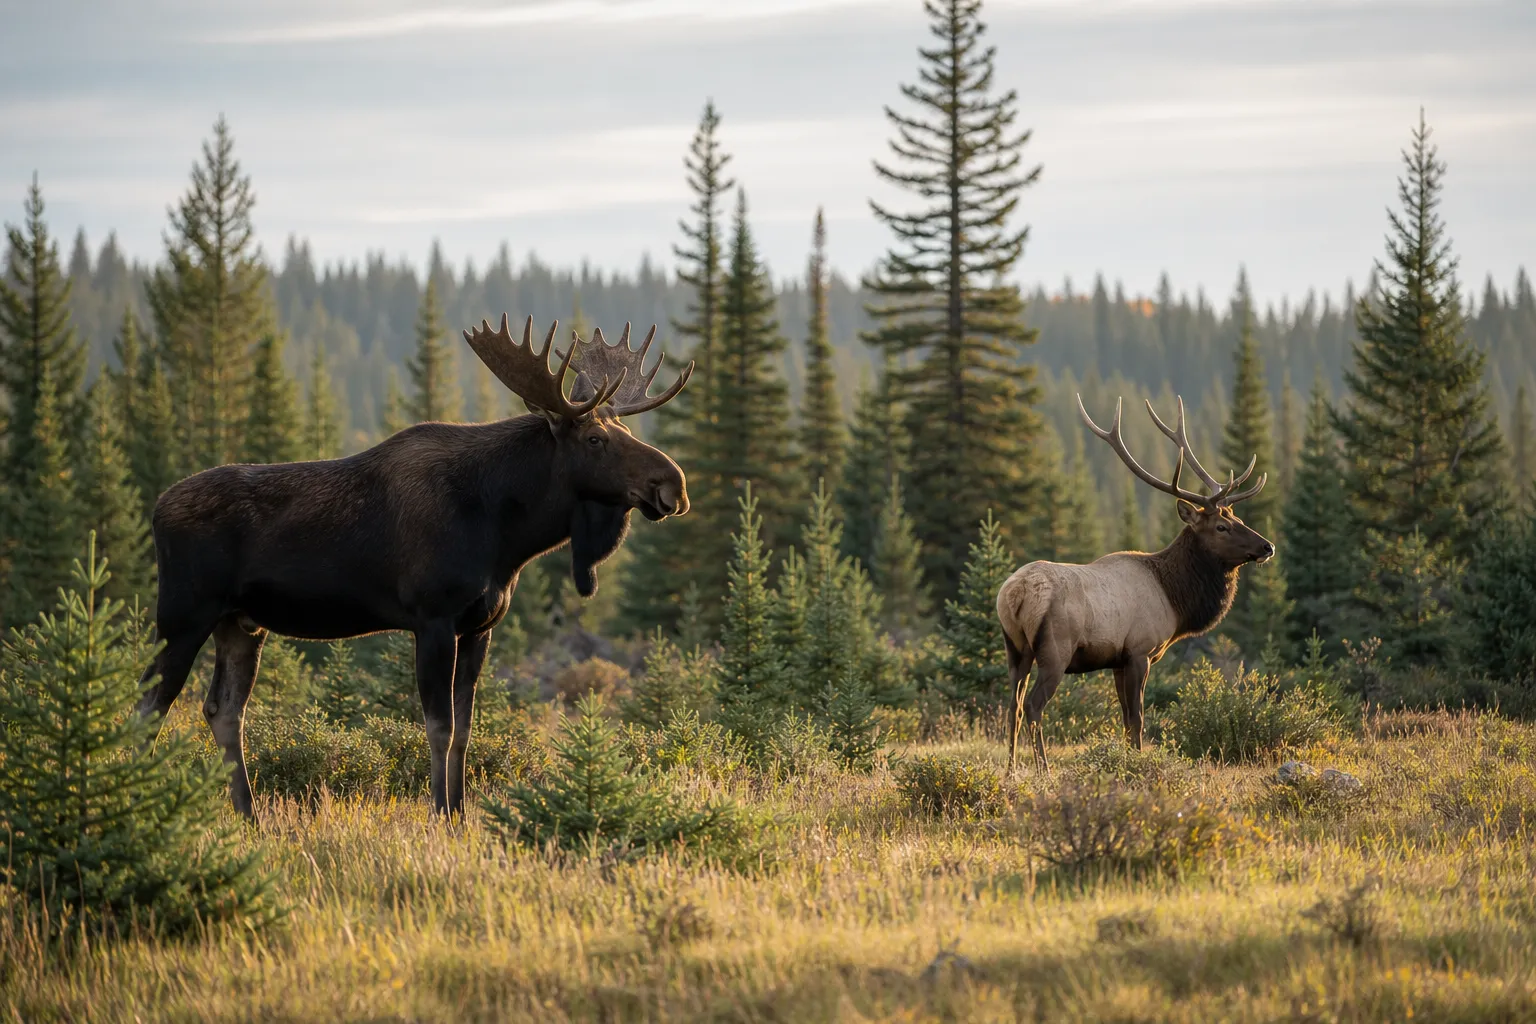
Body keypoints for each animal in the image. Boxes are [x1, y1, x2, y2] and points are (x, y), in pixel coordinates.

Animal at [137, 315, 693, 818]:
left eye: (623, 427)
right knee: (150, 705)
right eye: (596, 440)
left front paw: (462, 815)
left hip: (242, 624)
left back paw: (249, 816)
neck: (504, 534)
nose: (674, 484)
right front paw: (438, 815)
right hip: (183, 616)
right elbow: (438, 727)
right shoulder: (433, 617)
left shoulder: (481, 625)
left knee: (224, 711)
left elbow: (466, 728)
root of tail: (157, 507)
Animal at [996, 395, 1274, 771]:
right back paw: (1045, 768)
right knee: (1033, 705)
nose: (1267, 546)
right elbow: (1138, 718)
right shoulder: (1141, 651)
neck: (1175, 600)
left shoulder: (1117, 659)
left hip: (1014, 646)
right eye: (1222, 526)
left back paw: (1011, 769)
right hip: (1055, 649)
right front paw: (1137, 762)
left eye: (1238, 518)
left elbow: (1126, 718)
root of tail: (1015, 594)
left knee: (1012, 704)